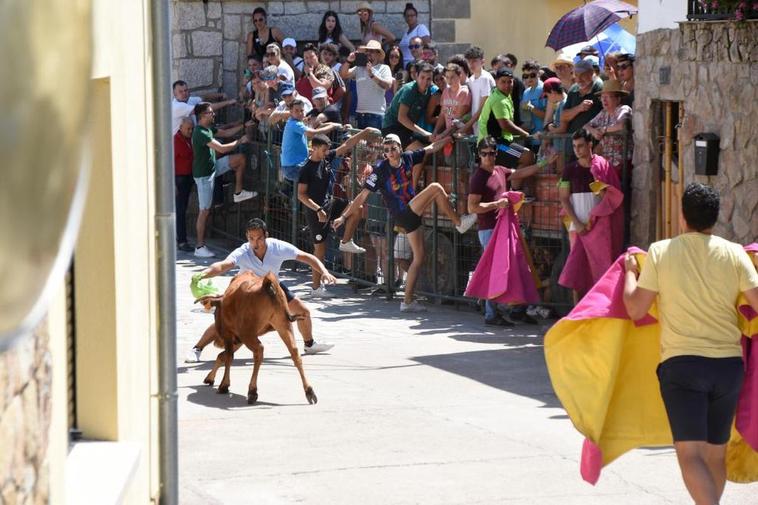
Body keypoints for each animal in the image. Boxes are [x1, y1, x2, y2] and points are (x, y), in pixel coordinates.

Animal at [197, 270, 320, 404]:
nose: (217, 342)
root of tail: (266, 284)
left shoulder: (230, 336)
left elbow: (228, 357)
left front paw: (224, 385)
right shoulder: (237, 340)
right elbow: (222, 356)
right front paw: (210, 378)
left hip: (248, 334)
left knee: (259, 351)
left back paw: (252, 391)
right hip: (283, 326)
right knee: (294, 352)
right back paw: (309, 391)